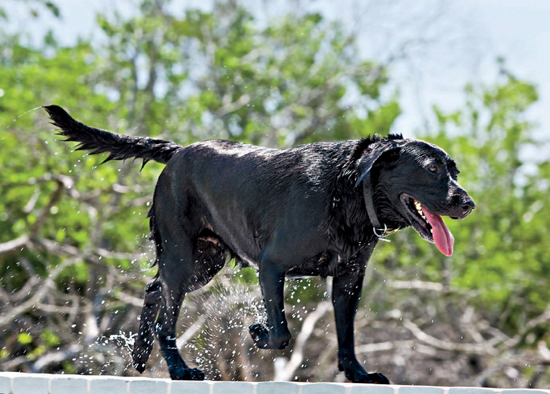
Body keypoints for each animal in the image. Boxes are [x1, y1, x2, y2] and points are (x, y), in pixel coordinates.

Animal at [44, 106, 474, 384]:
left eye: (454, 170)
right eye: (432, 169)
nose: (468, 203)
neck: (347, 190)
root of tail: (178, 151)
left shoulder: (350, 280)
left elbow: (346, 334)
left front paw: (358, 373)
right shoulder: (271, 266)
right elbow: (281, 332)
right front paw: (257, 331)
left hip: (205, 261)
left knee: (154, 292)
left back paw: (139, 356)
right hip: (182, 256)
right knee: (167, 313)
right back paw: (180, 370)